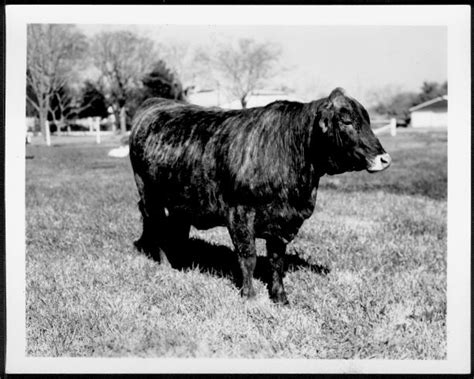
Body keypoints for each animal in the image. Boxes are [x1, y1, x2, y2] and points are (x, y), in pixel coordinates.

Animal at [128, 87, 390, 306]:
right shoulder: (239, 213)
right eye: (347, 121)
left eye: (367, 120)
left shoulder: (283, 222)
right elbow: (248, 257)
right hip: (149, 195)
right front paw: (250, 296)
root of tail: (157, 102)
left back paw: (181, 263)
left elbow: (276, 261)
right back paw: (165, 267)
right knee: (158, 229)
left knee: (177, 231)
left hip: (181, 201)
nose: (384, 159)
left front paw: (280, 297)